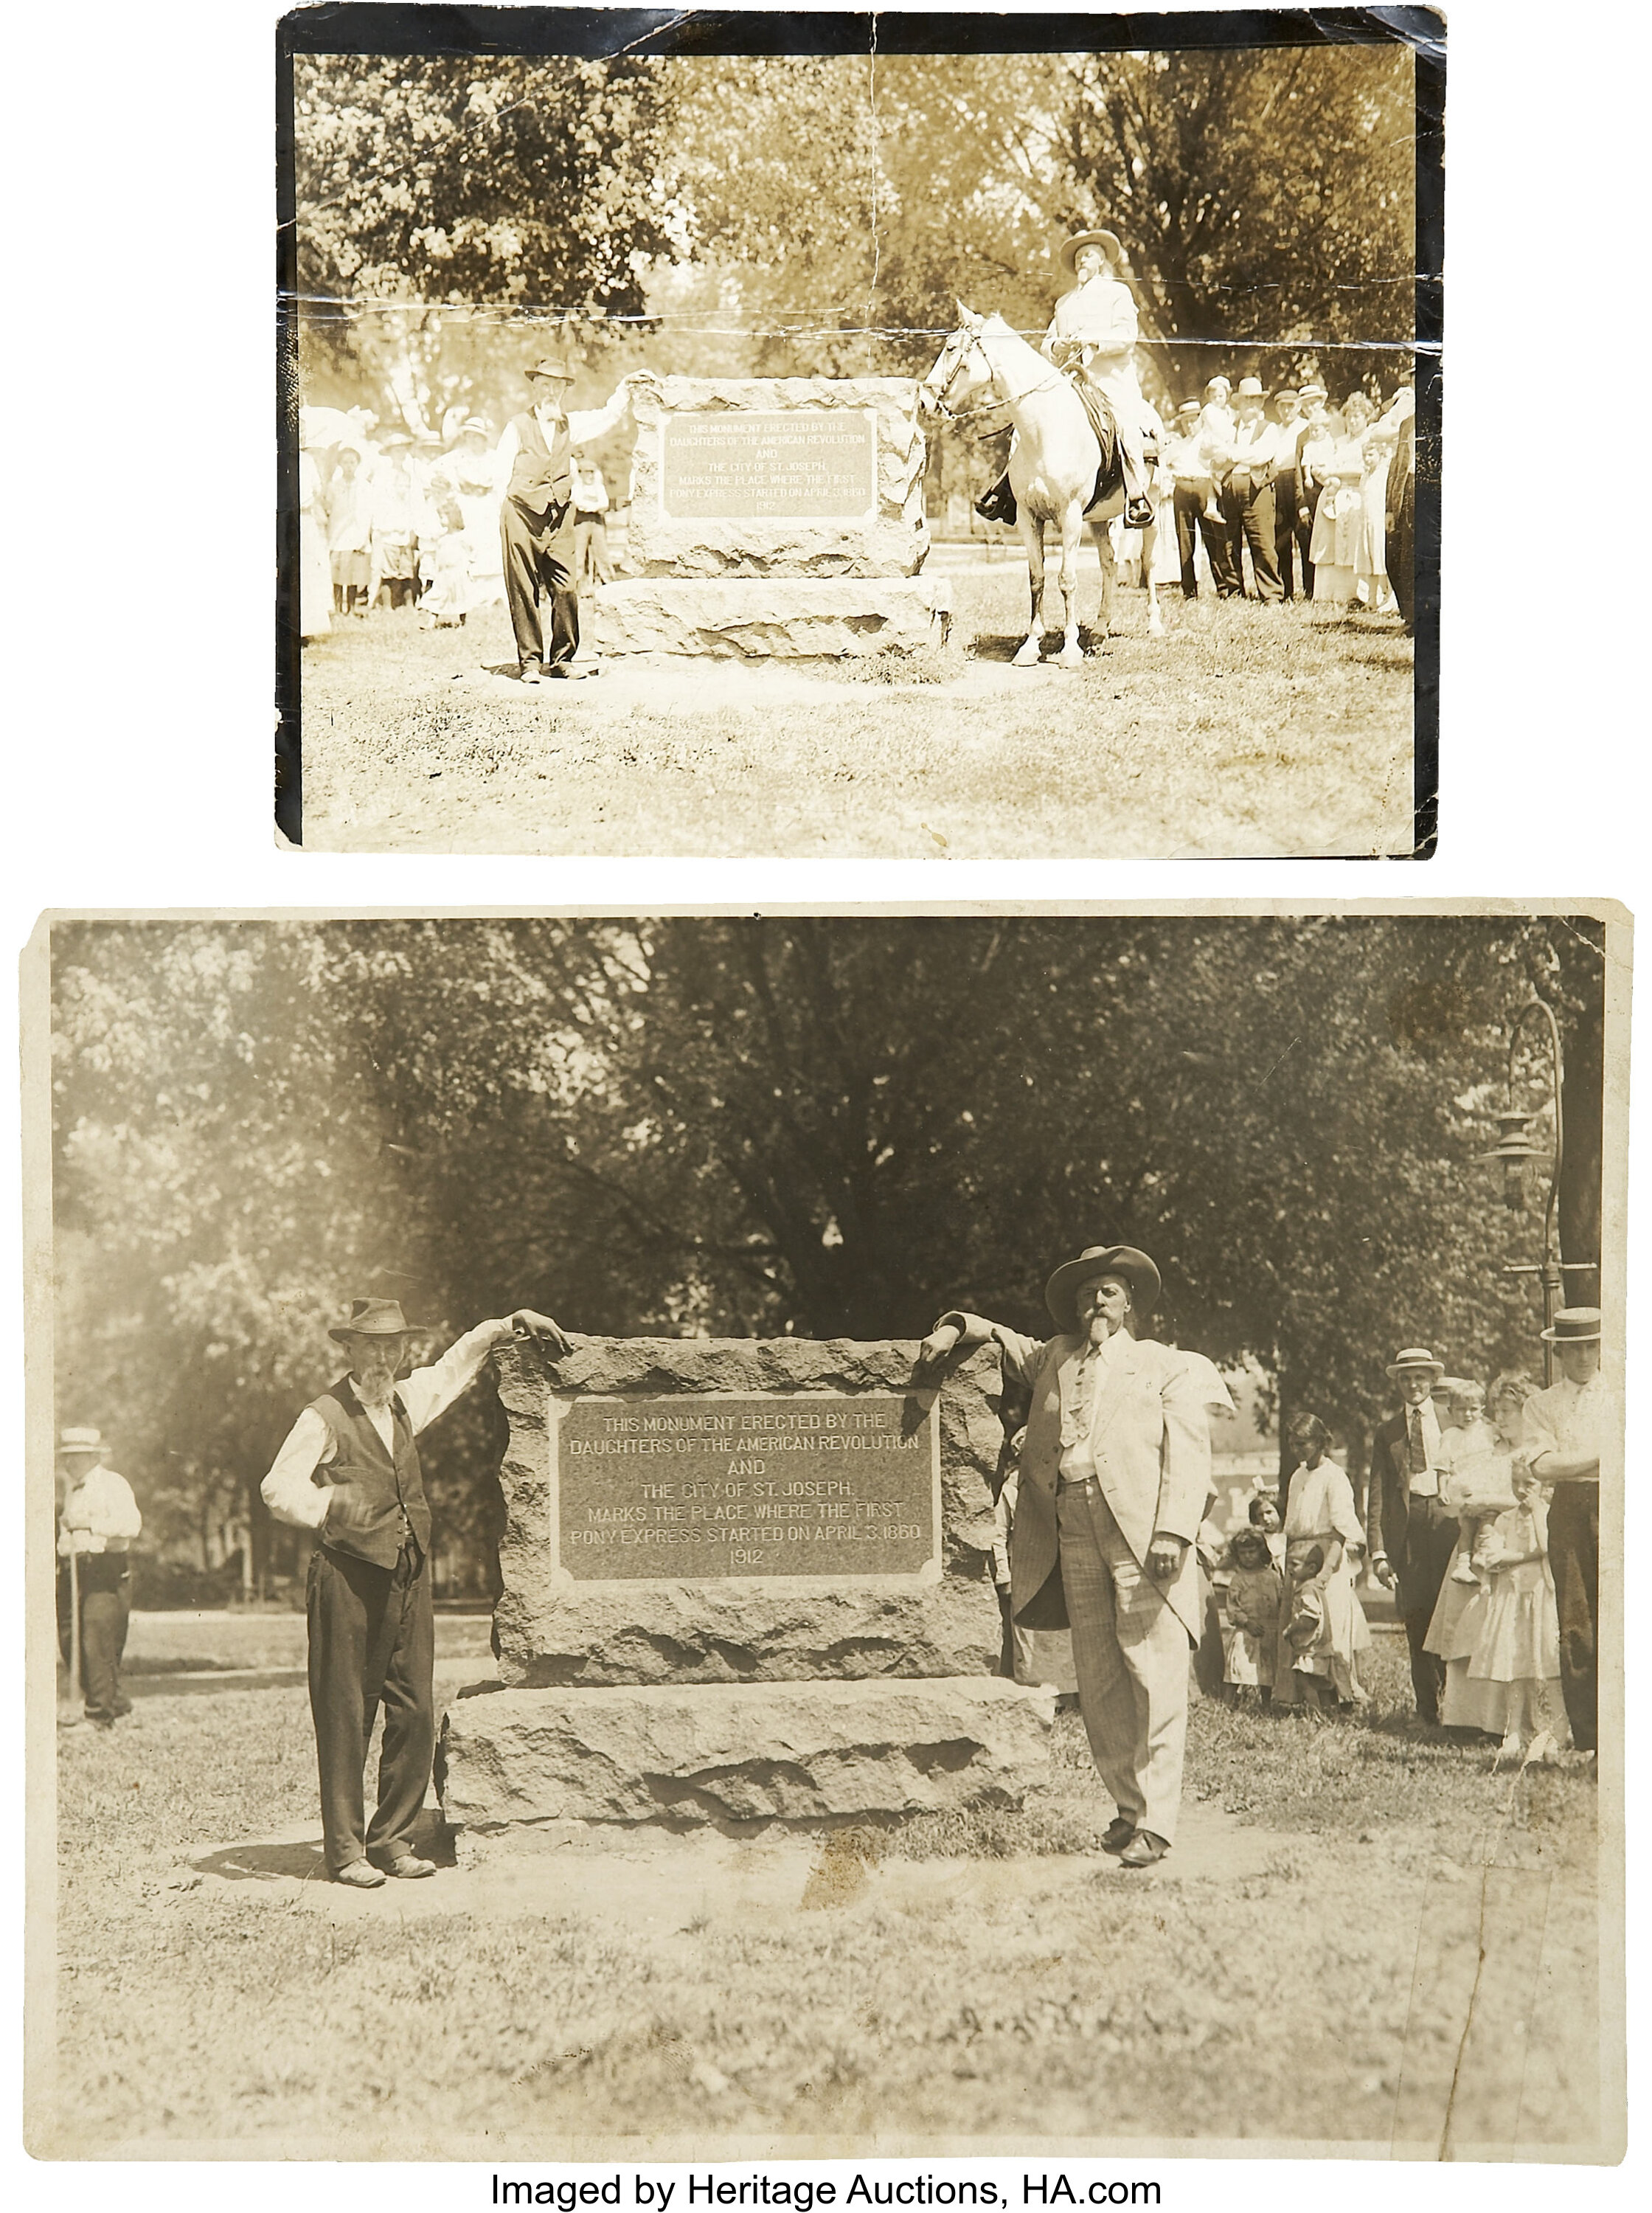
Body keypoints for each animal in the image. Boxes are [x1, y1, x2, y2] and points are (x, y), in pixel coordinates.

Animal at [915, 303, 1159, 664]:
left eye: (950, 348)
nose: (924, 404)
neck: (1045, 430)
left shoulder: (1070, 517)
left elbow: (1067, 579)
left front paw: (1069, 649)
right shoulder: (1029, 518)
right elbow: (1037, 579)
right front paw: (1031, 645)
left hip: (1155, 508)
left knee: (1149, 561)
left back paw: (1155, 624)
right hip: (1099, 519)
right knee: (1109, 564)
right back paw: (1100, 630)